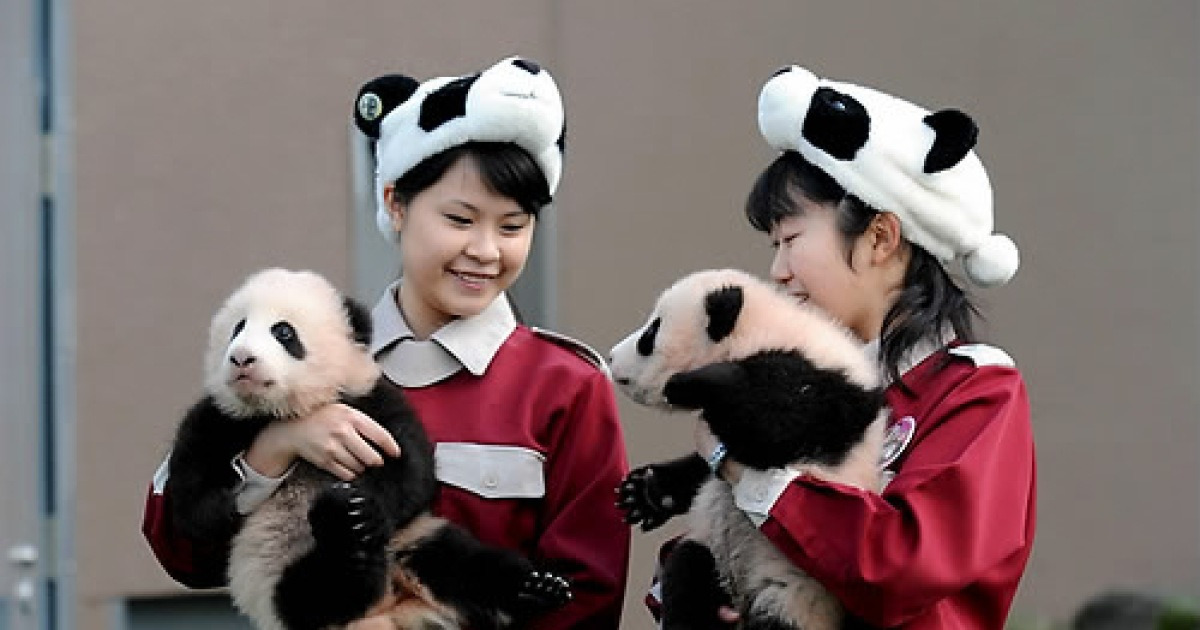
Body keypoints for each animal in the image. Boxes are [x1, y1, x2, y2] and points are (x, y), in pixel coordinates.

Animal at [610, 268, 889, 630]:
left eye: (650, 333)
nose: (612, 358)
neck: (764, 326)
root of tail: (741, 599)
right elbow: (709, 463)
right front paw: (646, 492)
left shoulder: (822, 392)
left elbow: (773, 428)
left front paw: (686, 383)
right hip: (712, 553)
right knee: (687, 572)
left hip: (798, 594)